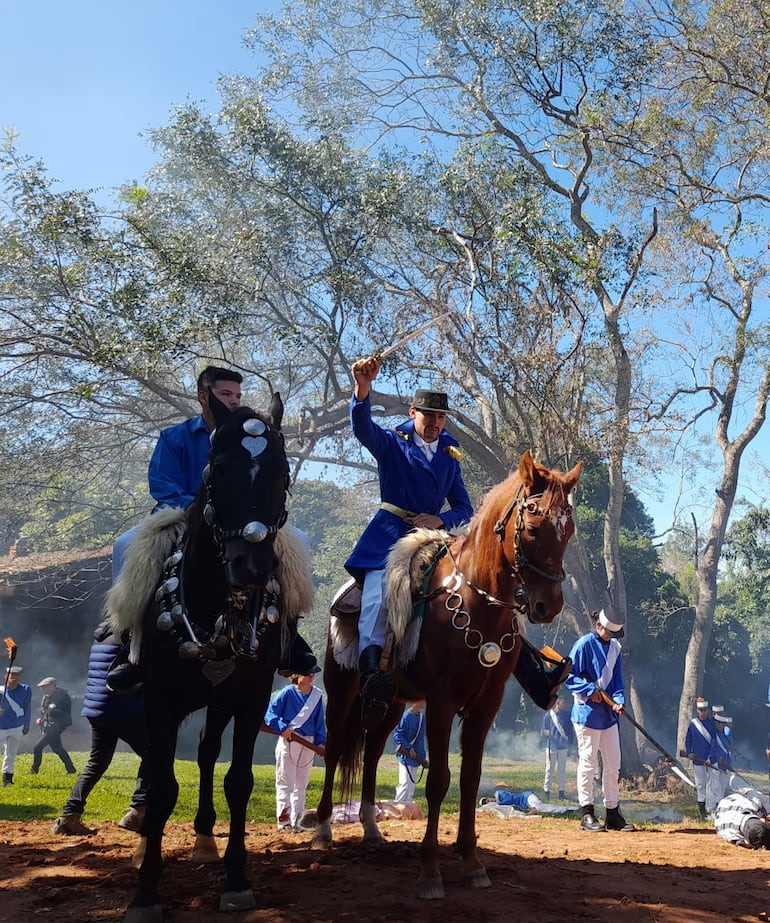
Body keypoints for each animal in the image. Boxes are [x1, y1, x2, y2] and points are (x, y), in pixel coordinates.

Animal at [109, 394, 312, 920]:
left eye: (282, 471)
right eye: (219, 467)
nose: (253, 567)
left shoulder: (250, 697)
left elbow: (237, 781)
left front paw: (236, 880)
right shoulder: (160, 697)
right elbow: (162, 786)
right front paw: (146, 890)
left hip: (217, 703)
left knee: (203, 752)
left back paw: (203, 839)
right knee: (156, 765)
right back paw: (146, 840)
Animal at [308, 452, 580, 900]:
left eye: (568, 530)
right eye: (533, 527)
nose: (548, 607)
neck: (476, 601)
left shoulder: (484, 707)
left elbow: (469, 779)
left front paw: (471, 862)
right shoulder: (441, 702)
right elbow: (438, 780)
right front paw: (430, 872)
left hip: (391, 703)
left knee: (373, 752)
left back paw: (371, 829)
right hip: (342, 691)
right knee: (332, 751)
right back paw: (323, 830)